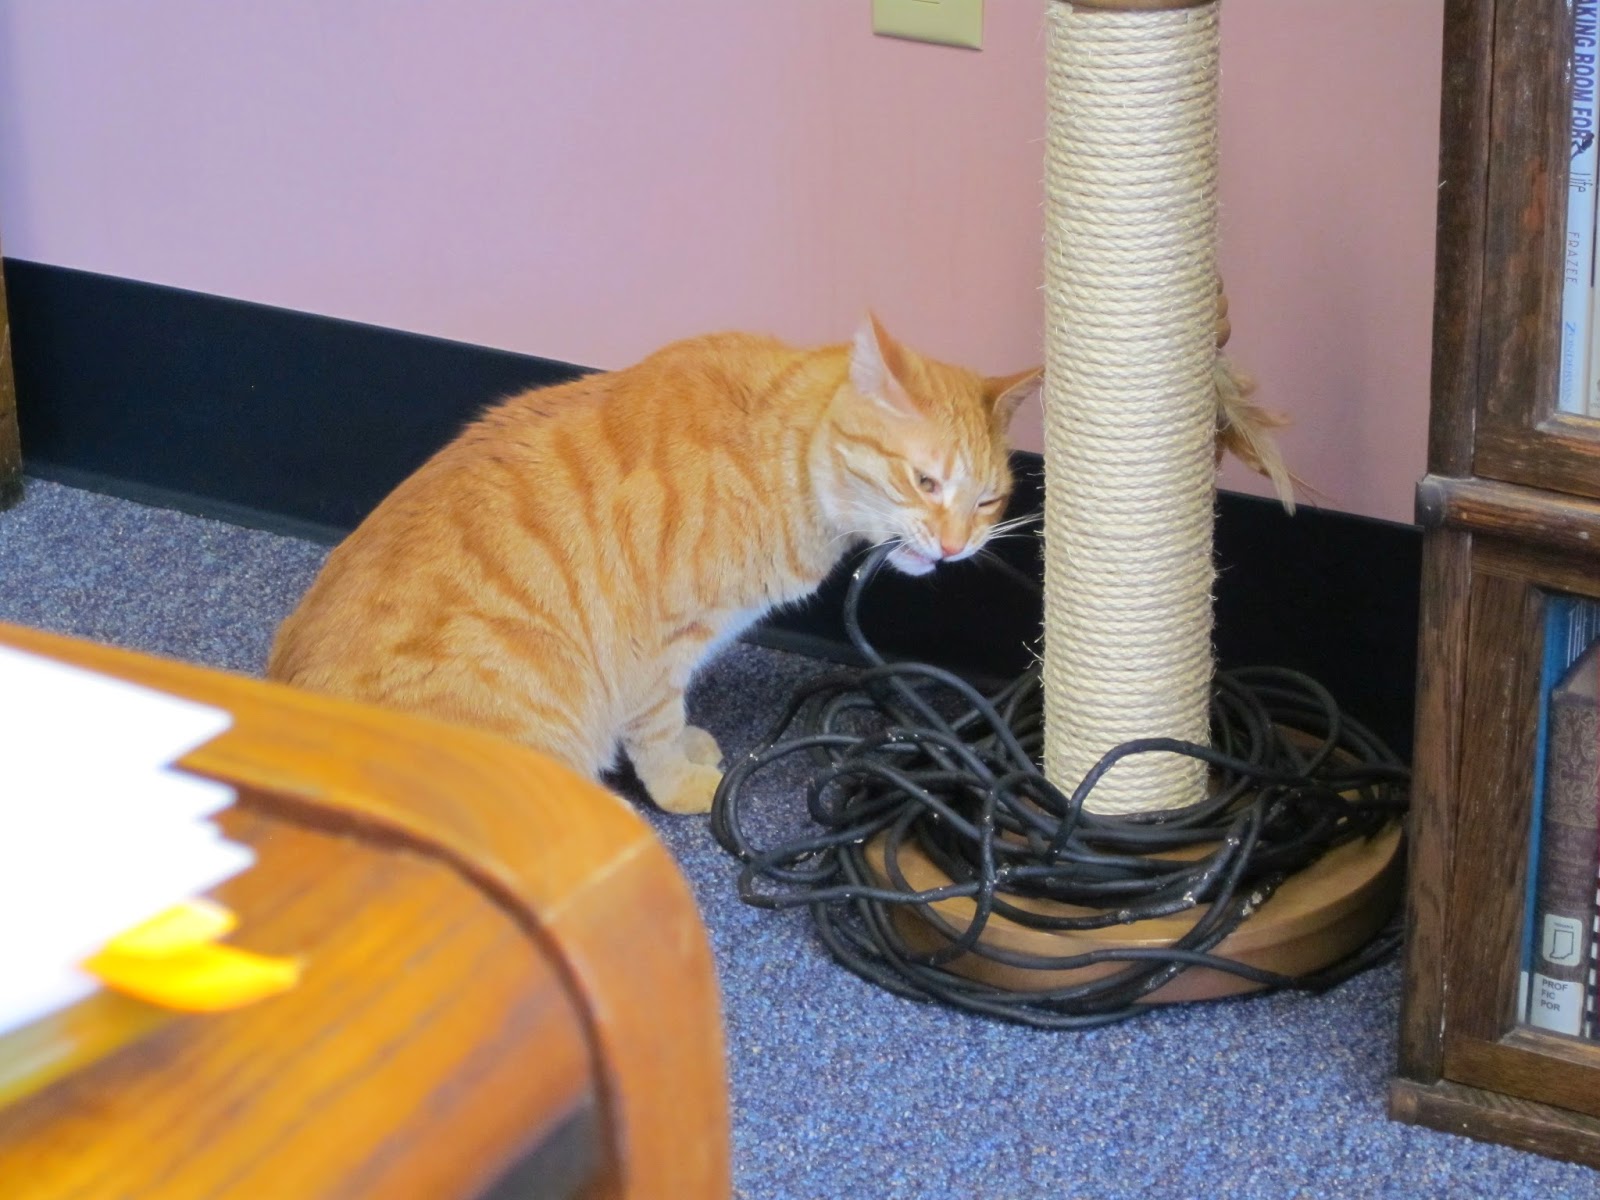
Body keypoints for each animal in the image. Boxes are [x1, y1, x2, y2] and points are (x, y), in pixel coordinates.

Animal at [266, 315, 1041, 814]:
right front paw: (680, 787)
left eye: (989, 500)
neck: (775, 454)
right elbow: (658, 726)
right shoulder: (655, 643)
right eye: (925, 481)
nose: (954, 546)